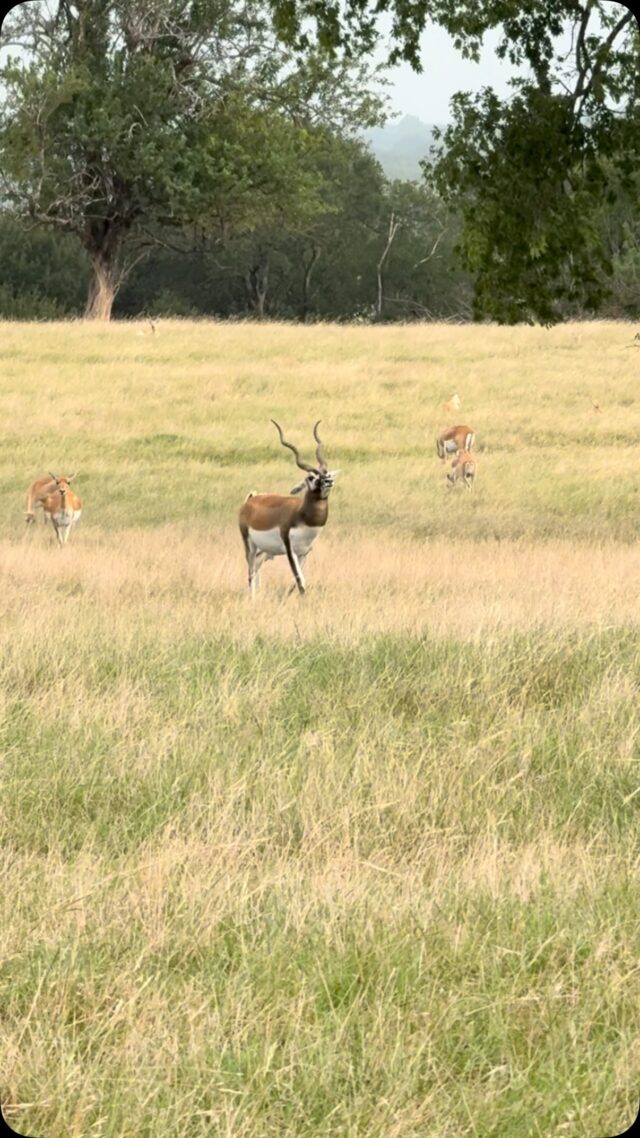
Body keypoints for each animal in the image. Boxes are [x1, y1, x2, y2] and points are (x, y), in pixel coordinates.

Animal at [238, 420, 338, 597]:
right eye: (311, 477)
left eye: (327, 473)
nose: (328, 482)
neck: (302, 517)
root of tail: (251, 499)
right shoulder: (289, 549)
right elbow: (300, 581)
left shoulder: (304, 552)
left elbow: (299, 582)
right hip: (249, 545)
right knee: (250, 572)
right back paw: (253, 599)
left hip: (265, 551)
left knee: (257, 566)